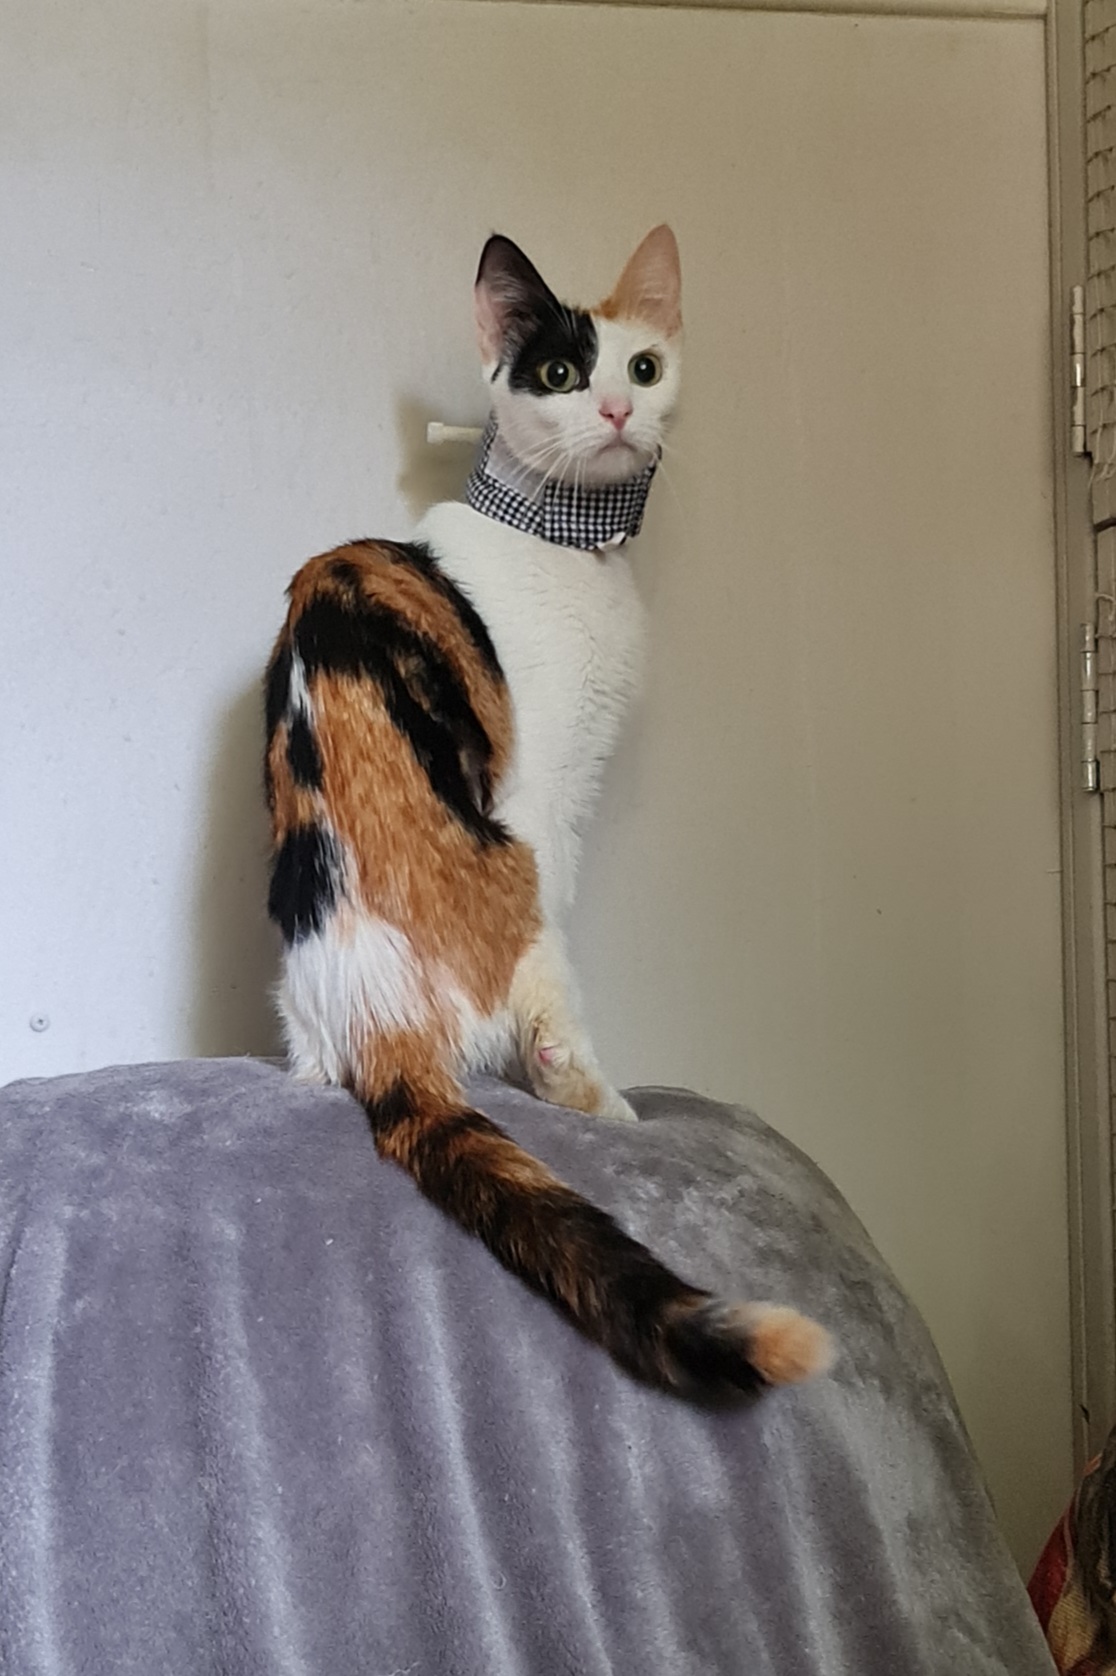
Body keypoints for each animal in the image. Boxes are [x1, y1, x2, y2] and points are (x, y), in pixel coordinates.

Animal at [263, 226, 833, 1395]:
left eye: (645, 368)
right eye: (563, 373)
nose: (616, 409)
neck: (561, 538)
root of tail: (376, 1022)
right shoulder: (552, 788)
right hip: (520, 860)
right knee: (555, 1010)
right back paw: (599, 1098)